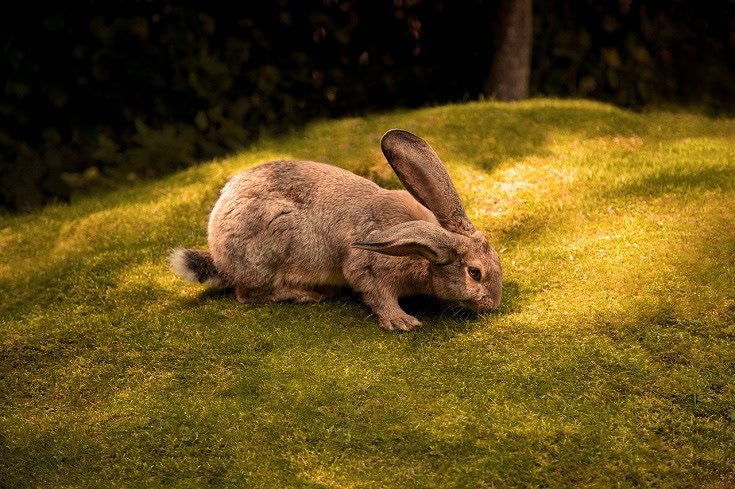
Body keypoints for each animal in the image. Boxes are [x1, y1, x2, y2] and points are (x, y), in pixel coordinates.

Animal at [169, 129, 502, 331]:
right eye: (475, 273)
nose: (494, 305)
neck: (424, 249)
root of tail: (219, 256)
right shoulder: (368, 268)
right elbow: (376, 294)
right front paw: (402, 321)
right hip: (272, 242)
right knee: (251, 295)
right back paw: (307, 295)